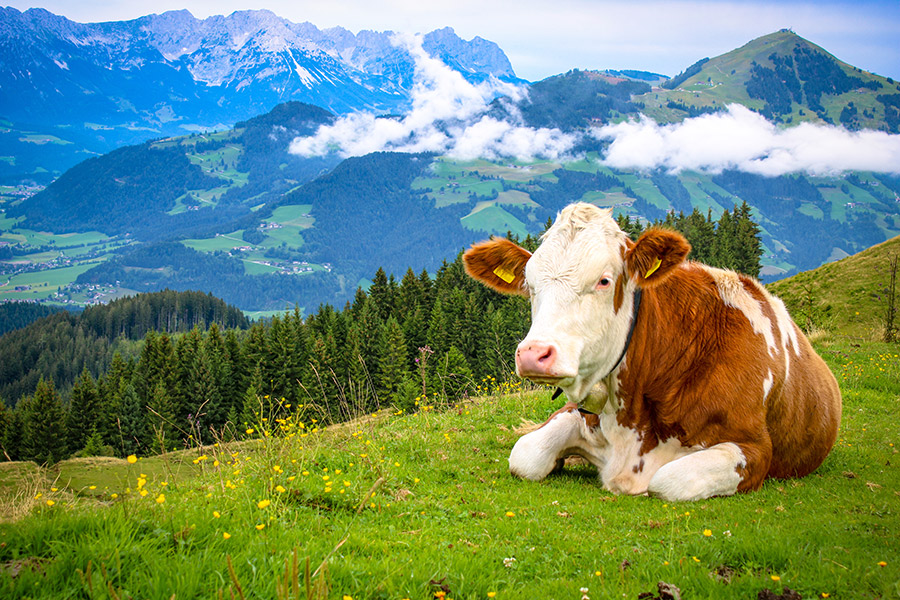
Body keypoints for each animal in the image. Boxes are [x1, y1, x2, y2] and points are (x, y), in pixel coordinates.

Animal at [462, 202, 842, 501]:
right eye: (529, 285)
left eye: (604, 280)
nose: (534, 354)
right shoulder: (579, 413)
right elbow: (525, 454)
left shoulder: (755, 448)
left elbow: (668, 480)